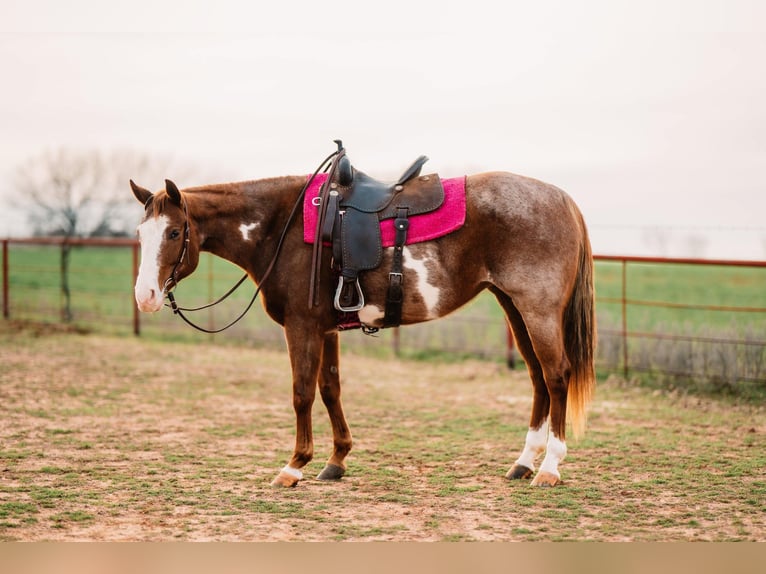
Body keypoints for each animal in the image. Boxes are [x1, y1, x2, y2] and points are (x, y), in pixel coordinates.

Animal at [130, 153, 600, 490]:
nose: (145, 296)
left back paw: (550, 467)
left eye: (174, 233)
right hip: (514, 309)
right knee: (538, 379)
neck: (279, 226)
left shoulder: (302, 327)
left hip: (537, 311)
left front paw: (294, 466)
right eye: (140, 234)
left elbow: (302, 393)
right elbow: (330, 389)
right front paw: (336, 460)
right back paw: (523, 463)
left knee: (556, 376)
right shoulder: (325, 329)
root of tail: (562, 199)